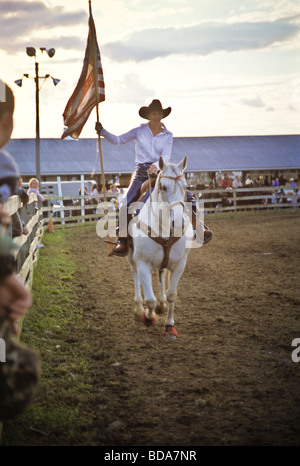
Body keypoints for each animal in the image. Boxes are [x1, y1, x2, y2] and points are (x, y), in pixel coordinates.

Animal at [126, 155, 192, 340]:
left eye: (186, 187)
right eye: (163, 187)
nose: (179, 223)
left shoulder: (179, 264)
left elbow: (172, 295)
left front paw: (169, 326)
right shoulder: (142, 263)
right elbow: (150, 299)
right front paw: (148, 317)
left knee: (161, 275)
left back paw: (161, 304)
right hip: (131, 257)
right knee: (135, 276)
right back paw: (139, 308)